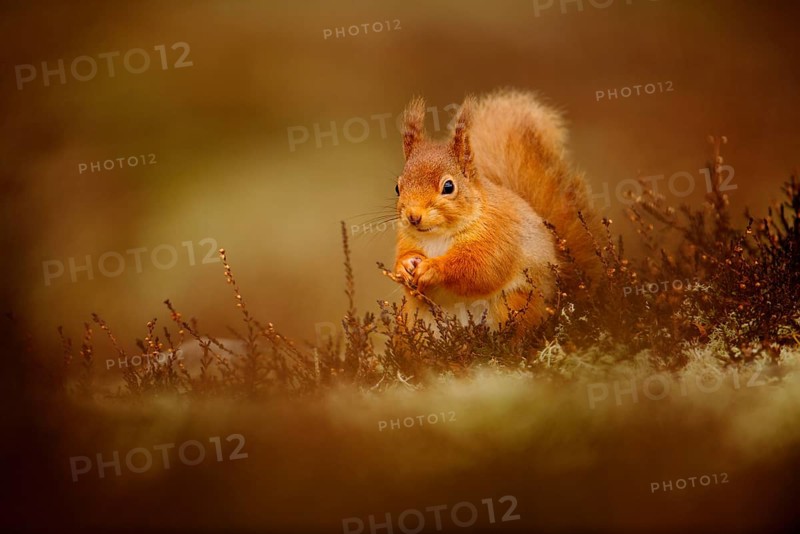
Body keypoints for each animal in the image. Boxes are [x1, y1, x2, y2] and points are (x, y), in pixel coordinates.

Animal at [392, 89, 604, 329]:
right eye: (397, 187)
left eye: (448, 186)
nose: (413, 216)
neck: (438, 236)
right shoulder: (407, 239)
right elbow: (406, 262)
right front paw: (404, 266)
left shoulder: (498, 236)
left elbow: (479, 269)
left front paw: (433, 268)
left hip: (514, 305)